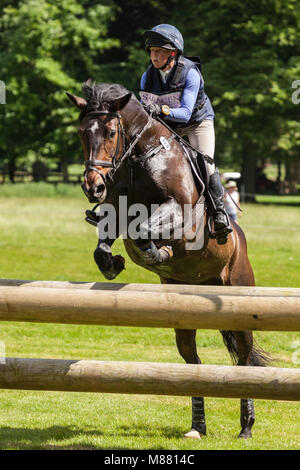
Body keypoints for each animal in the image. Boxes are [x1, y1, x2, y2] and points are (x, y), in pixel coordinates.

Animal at [67, 81, 270, 440]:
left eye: (110, 132)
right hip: (184, 318)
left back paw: (246, 426)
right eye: (81, 133)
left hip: (240, 296)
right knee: (193, 363)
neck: (139, 157)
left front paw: (157, 252)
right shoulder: (116, 210)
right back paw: (198, 426)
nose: (93, 188)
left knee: (244, 358)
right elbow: (105, 243)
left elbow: (144, 229)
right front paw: (114, 264)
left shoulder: (179, 211)